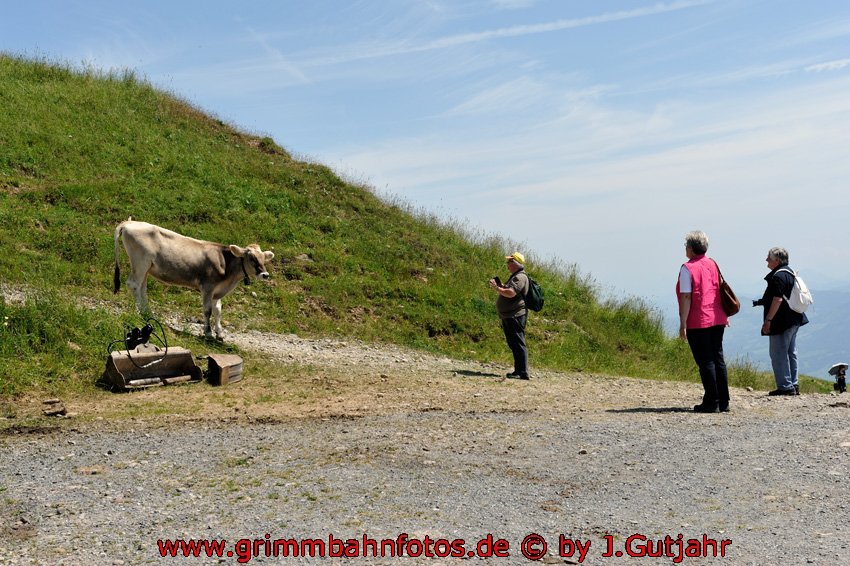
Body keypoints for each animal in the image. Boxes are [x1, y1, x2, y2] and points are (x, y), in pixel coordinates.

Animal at [112, 220, 274, 340]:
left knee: (142, 288)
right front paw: (208, 333)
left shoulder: (218, 290)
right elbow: (208, 310)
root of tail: (129, 222)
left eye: (263, 258)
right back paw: (140, 313)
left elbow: (218, 310)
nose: (265, 274)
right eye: (251, 258)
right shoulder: (208, 287)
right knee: (134, 284)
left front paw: (220, 333)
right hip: (140, 262)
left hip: (146, 268)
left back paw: (148, 313)